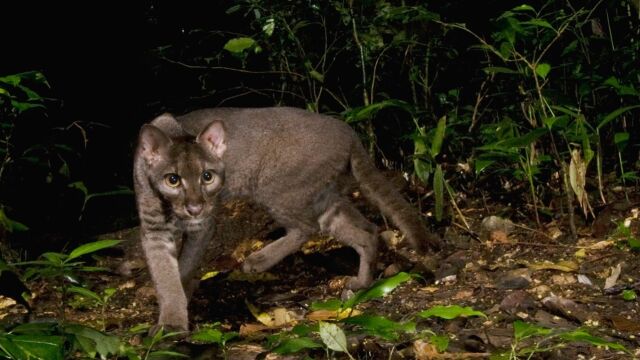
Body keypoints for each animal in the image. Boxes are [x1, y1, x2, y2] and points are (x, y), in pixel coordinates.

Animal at [132, 107, 438, 332]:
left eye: (207, 176)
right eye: (173, 179)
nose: (195, 207)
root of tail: (347, 130)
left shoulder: (202, 226)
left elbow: (182, 268)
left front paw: (172, 322)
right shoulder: (154, 231)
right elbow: (166, 273)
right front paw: (172, 314)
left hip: (275, 188)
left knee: (306, 228)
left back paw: (258, 261)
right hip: (322, 197)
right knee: (366, 231)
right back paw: (362, 282)